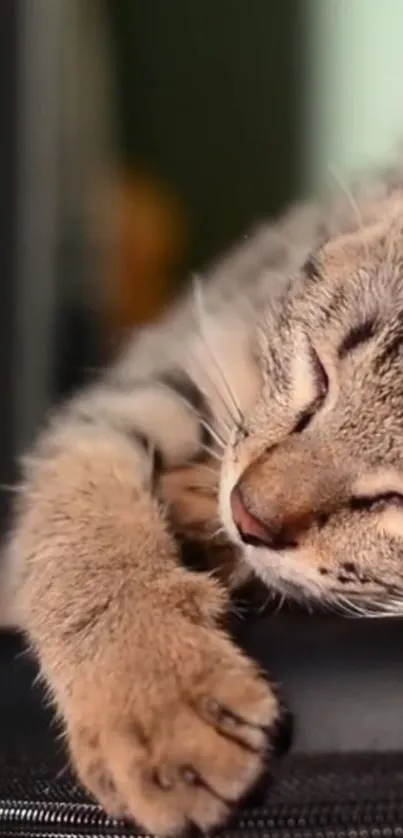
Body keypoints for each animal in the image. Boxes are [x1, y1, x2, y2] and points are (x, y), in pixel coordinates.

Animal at [6, 158, 403, 832]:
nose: (248, 515)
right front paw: (157, 699)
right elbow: (79, 525)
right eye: (320, 372)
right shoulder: (150, 382)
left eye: (397, 501)